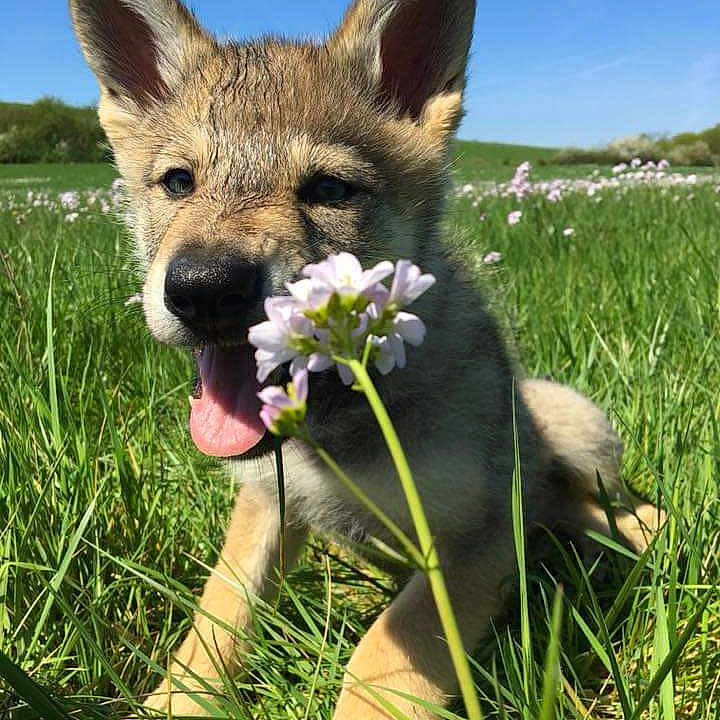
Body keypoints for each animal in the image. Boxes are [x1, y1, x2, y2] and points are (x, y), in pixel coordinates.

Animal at [69, 0, 664, 717]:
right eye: (178, 182)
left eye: (330, 189)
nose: (204, 288)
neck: (343, 430)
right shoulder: (267, 504)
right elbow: (216, 619)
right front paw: (173, 699)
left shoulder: (480, 533)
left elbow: (382, 650)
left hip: (573, 428)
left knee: (602, 504)